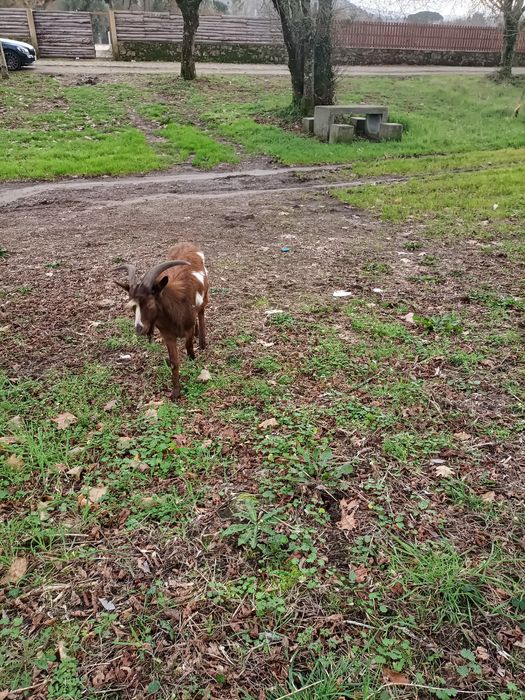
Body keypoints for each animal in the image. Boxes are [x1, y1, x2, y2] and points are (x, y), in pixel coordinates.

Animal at [114, 243, 209, 400]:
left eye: (150, 303)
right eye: (133, 306)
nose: (139, 328)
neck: (175, 307)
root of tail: (186, 244)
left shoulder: (187, 329)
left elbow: (189, 348)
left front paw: (193, 363)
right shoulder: (167, 335)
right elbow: (174, 362)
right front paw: (176, 392)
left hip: (205, 295)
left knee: (201, 313)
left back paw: (202, 341)